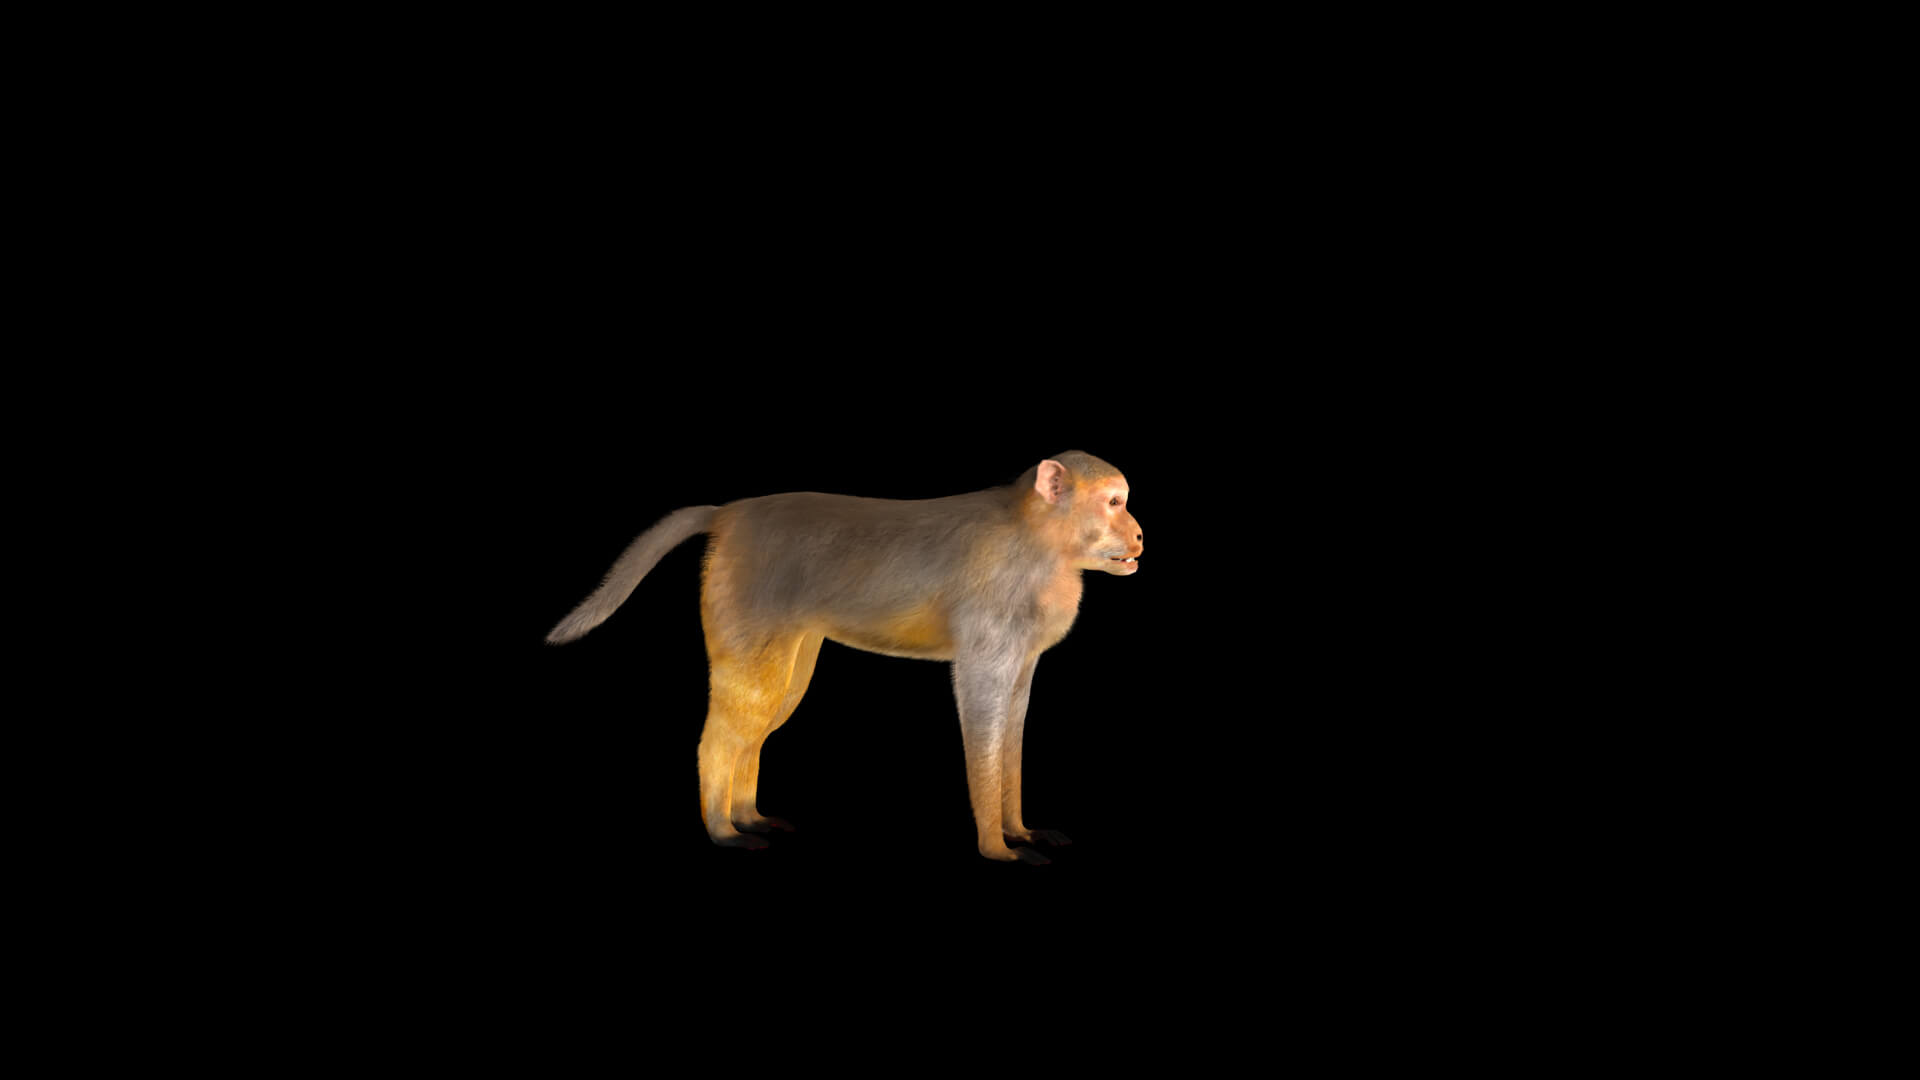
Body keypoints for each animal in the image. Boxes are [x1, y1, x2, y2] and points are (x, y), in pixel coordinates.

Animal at [545, 451, 1143, 864]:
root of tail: (733, 513)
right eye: (1114, 502)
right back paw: (722, 829)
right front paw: (997, 847)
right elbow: (980, 707)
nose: (1139, 534)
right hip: (745, 593)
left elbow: (1014, 720)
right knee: (741, 714)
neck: (1041, 540)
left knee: (766, 710)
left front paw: (1018, 828)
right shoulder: (994, 606)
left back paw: (746, 815)